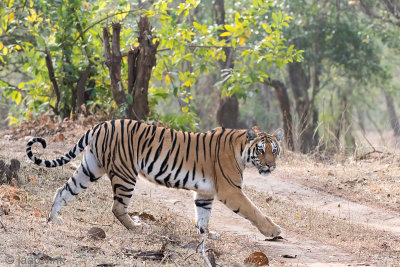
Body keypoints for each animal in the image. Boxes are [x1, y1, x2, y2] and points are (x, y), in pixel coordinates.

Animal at [26, 119, 282, 239]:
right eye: (261, 150)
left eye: (275, 150)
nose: (270, 165)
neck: (241, 151)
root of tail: (101, 125)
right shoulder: (231, 190)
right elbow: (254, 211)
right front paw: (274, 231)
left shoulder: (205, 192)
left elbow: (203, 216)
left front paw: (207, 235)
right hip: (126, 174)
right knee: (117, 207)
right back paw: (137, 227)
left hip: (90, 168)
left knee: (62, 190)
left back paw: (54, 219)